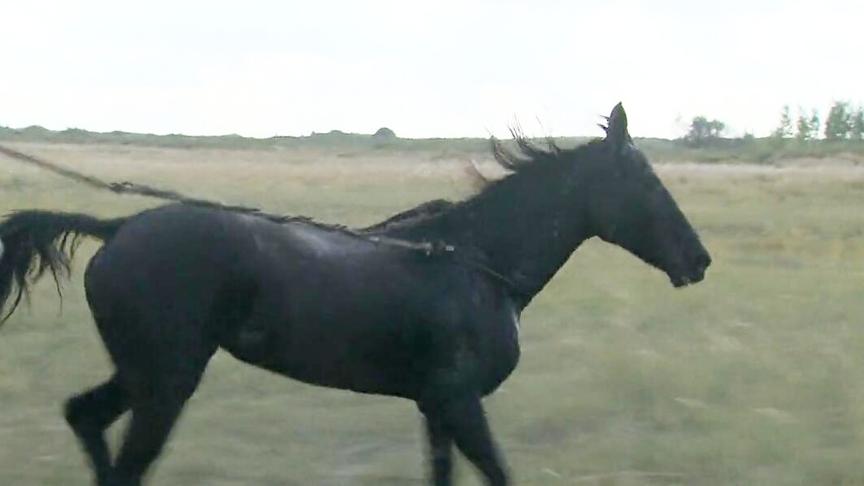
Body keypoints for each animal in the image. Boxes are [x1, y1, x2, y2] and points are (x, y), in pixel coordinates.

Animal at [0, 104, 708, 484]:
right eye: (646, 182)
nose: (698, 261)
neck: (475, 264)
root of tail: (117, 229)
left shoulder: (437, 407)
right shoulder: (459, 403)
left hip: (146, 374)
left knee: (84, 417)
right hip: (166, 382)